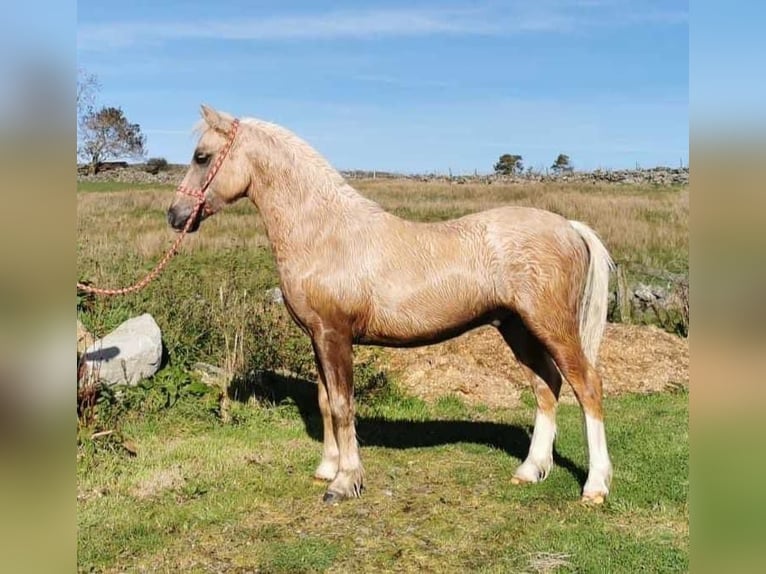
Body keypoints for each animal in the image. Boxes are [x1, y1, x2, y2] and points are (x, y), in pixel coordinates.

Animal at [170, 106, 616, 506]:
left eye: (201, 156)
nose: (175, 215)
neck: (325, 232)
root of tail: (569, 226)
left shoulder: (334, 336)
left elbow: (342, 405)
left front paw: (344, 482)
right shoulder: (318, 337)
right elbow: (325, 402)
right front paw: (327, 468)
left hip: (551, 327)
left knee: (586, 387)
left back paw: (594, 487)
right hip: (517, 328)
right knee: (546, 387)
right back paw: (530, 470)